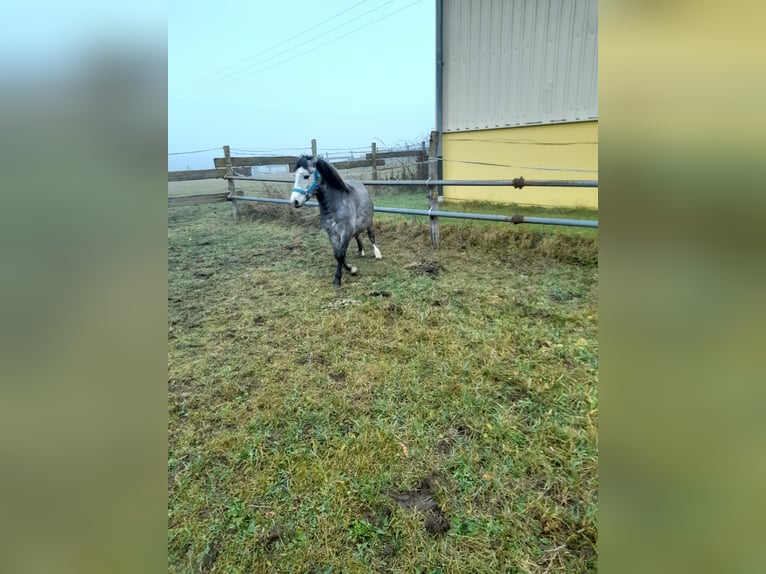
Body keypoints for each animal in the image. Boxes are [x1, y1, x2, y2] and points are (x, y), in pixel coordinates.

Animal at [290, 155, 382, 286]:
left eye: (306, 176)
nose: (295, 201)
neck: (335, 206)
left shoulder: (345, 232)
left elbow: (340, 254)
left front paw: (339, 278)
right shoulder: (332, 234)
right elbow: (337, 254)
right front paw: (350, 268)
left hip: (369, 222)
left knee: (371, 236)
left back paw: (377, 254)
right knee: (358, 236)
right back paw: (361, 251)